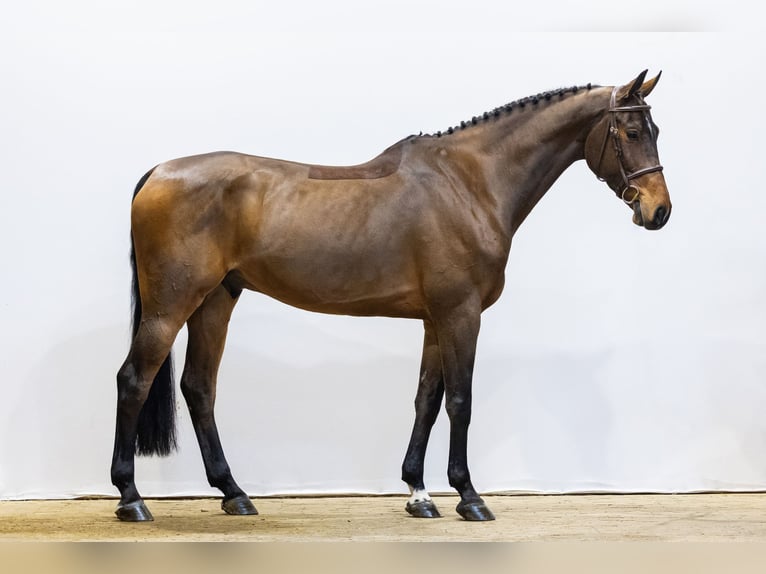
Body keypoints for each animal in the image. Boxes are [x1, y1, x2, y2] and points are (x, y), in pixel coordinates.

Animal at [111, 70, 671, 522]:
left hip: (216, 301)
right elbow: (461, 401)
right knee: (134, 380)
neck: (468, 183)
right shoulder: (461, 314)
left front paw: (419, 495)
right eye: (632, 131)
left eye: (656, 131)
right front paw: (469, 497)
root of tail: (159, 172)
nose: (659, 210)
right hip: (171, 306)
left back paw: (234, 493)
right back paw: (131, 499)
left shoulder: (435, 319)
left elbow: (426, 399)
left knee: (199, 387)